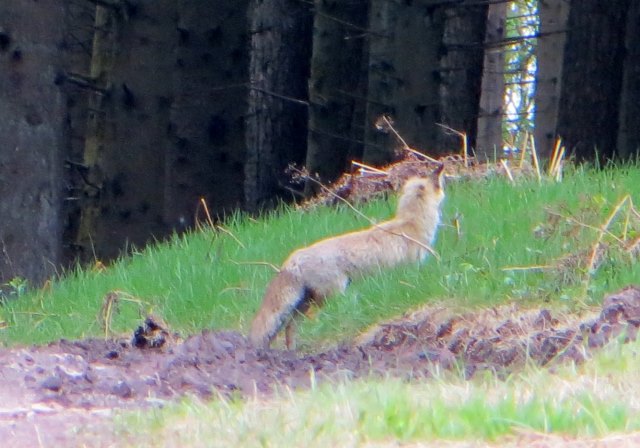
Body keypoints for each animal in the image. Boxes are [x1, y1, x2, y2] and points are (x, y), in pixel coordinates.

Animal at [250, 164, 444, 350]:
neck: (411, 224)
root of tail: (294, 258)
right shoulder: (411, 268)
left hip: (303, 303)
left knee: (290, 327)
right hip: (332, 294)